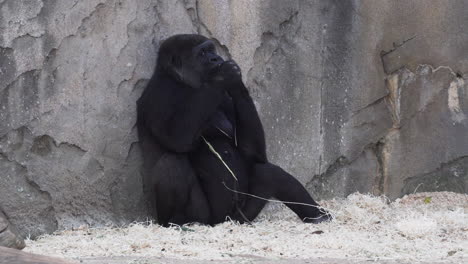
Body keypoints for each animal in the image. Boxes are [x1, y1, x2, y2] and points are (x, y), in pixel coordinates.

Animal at [137, 34, 330, 226]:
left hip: (240, 217)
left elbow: (253, 153)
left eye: (211, 50)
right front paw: (223, 75)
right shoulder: (158, 94)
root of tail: (223, 222)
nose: (215, 58)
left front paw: (237, 82)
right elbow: (177, 139)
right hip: (206, 218)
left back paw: (317, 215)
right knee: (172, 163)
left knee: (270, 174)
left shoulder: (224, 97)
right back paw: (176, 220)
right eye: (202, 53)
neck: (181, 82)